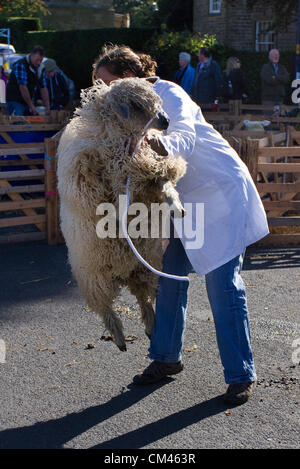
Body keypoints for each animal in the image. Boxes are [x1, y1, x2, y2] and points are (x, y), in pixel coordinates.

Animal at [57, 78, 186, 352]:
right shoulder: (92, 176)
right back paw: (118, 336)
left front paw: (176, 205)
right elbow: (109, 201)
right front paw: (117, 217)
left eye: (157, 99)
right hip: (93, 278)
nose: (166, 121)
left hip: (144, 269)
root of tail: (122, 272)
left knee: (144, 299)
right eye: (135, 105)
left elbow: (164, 184)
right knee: (105, 308)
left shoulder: (149, 170)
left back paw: (151, 326)